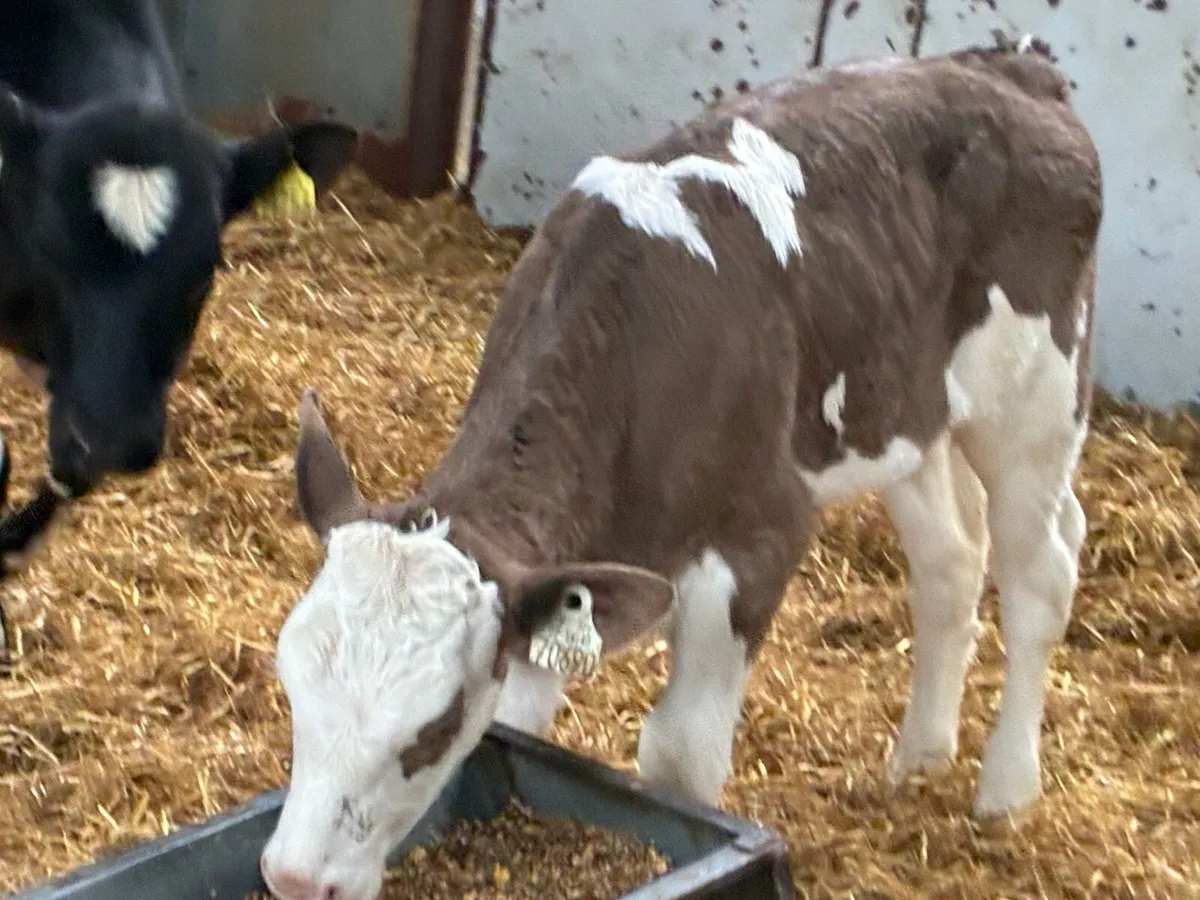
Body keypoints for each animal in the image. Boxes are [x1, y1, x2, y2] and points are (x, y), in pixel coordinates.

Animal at [259, 43, 1102, 900]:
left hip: (1034, 402)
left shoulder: (758, 539)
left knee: (1040, 573)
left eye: (433, 728)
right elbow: (526, 722)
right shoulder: (559, 578)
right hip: (907, 414)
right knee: (951, 562)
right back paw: (921, 756)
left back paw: (1005, 790)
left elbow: (679, 755)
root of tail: (1008, 65)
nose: (293, 877)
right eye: (291, 685)